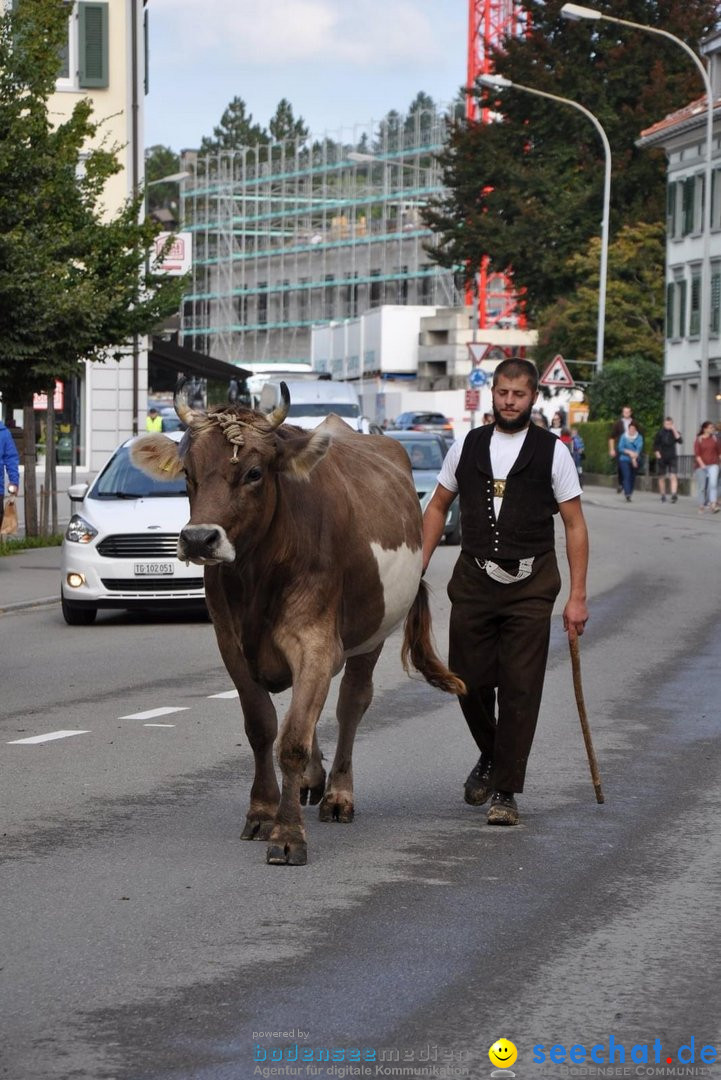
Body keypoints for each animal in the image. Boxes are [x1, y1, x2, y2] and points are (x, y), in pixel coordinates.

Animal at [132, 384, 461, 864]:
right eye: (188, 473)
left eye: (253, 472)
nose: (198, 539)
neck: (257, 573)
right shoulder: (231, 644)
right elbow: (262, 727)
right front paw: (262, 811)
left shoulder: (316, 641)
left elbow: (291, 739)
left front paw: (288, 834)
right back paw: (311, 780)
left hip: (372, 635)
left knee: (350, 704)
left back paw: (339, 794)